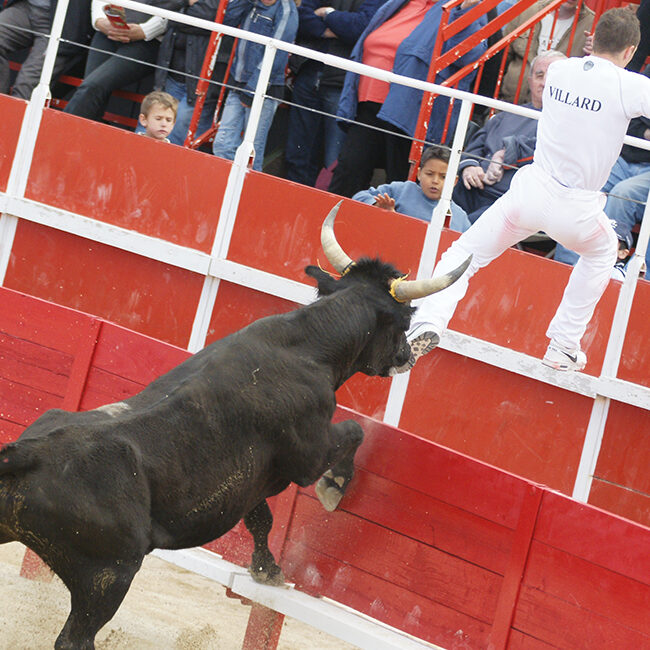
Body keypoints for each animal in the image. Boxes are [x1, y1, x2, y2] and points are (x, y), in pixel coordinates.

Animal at [0, 204, 466, 648]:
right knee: (75, 638)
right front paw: (333, 489)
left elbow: (260, 519)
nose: (406, 355)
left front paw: (267, 570)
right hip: (109, 576)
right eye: (404, 321)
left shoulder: (251, 480)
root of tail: (30, 454)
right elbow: (352, 434)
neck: (308, 346)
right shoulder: (309, 453)